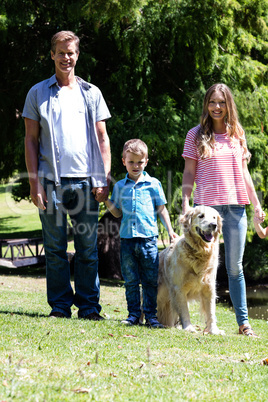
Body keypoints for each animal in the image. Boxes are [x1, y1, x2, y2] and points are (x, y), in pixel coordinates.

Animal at [157, 206, 224, 334]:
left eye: (214, 217)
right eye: (201, 216)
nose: (214, 225)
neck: (199, 252)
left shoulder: (209, 288)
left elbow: (211, 312)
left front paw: (214, 330)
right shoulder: (179, 289)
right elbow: (184, 311)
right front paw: (188, 327)